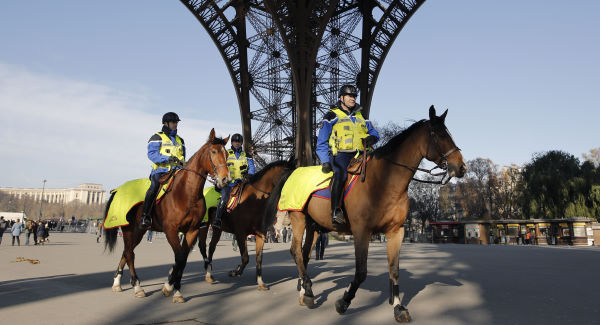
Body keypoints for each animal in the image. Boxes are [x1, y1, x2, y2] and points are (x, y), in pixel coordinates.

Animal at [104, 127, 231, 302]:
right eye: (213, 151)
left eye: (227, 154)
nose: (226, 179)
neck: (187, 193)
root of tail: (118, 189)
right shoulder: (171, 230)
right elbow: (179, 257)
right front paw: (169, 286)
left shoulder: (192, 231)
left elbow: (183, 259)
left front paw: (176, 289)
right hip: (129, 229)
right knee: (130, 253)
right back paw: (137, 286)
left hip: (140, 230)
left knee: (126, 251)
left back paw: (117, 282)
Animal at [198, 159, 296, 288]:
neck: (254, 200)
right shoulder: (240, 233)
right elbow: (245, 257)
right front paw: (236, 271)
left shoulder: (260, 234)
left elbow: (259, 258)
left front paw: (260, 282)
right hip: (204, 226)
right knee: (202, 246)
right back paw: (208, 272)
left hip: (217, 229)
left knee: (211, 247)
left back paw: (209, 271)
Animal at [264, 107, 466, 322]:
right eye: (439, 135)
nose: (461, 166)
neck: (384, 181)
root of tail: (293, 171)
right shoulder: (362, 231)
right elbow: (361, 272)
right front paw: (344, 301)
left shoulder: (396, 231)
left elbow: (394, 270)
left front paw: (398, 306)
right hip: (298, 219)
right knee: (295, 251)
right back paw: (308, 291)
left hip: (314, 226)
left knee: (304, 255)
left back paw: (305, 292)